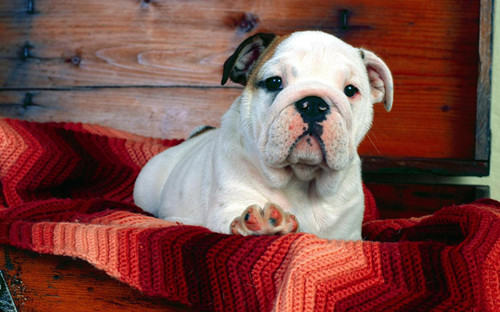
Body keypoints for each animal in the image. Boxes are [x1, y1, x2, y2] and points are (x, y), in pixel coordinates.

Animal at [135, 31, 392, 241]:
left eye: (350, 90)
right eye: (274, 82)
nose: (314, 104)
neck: (302, 181)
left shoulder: (350, 235)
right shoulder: (228, 207)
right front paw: (265, 224)